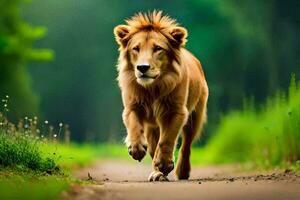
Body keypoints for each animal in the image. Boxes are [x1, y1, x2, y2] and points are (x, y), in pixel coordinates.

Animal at [113, 10, 207, 181]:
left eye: (157, 48)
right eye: (136, 48)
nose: (142, 67)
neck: (153, 88)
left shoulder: (176, 111)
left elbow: (167, 139)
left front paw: (164, 164)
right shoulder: (132, 107)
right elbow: (134, 126)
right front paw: (136, 149)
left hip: (195, 117)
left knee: (186, 145)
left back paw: (182, 171)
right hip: (152, 127)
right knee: (153, 147)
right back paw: (157, 174)